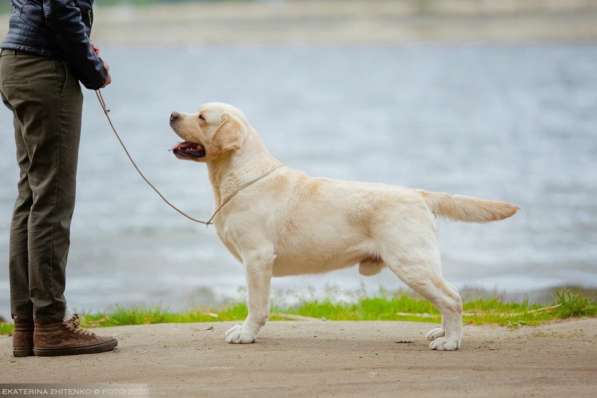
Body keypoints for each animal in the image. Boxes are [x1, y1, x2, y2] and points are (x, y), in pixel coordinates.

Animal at [168, 103, 516, 352]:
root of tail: (418, 194)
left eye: (201, 117)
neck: (239, 175)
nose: (172, 114)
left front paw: (246, 333)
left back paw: (451, 341)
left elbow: (256, 304)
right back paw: (441, 332)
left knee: (452, 298)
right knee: (445, 298)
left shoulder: (257, 258)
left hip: (411, 262)